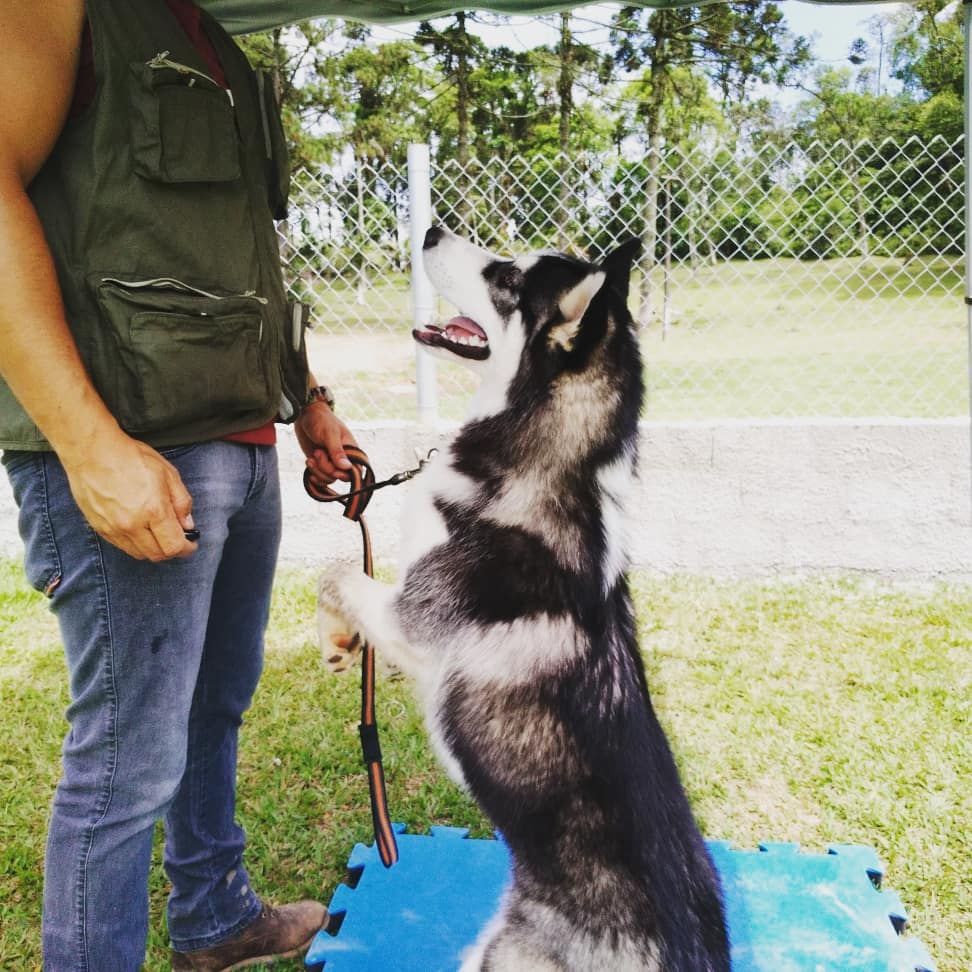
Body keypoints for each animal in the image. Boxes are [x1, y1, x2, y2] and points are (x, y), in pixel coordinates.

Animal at [318, 230, 728, 972]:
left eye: (506, 278)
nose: (429, 232)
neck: (548, 462)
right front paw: (341, 645)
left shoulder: (413, 620)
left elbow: (336, 570)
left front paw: (333, 635)